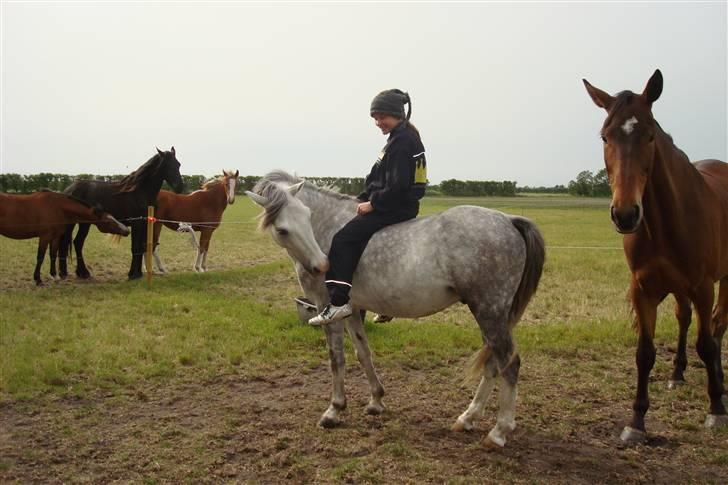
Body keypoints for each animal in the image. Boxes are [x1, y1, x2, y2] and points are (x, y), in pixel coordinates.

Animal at [0, 189, 129, 286]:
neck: (55, 206)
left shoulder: (55, 236)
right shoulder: (45, 236)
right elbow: (40, 257)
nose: (127, 230)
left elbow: (52, 255)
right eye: (108, 221)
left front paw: (54, 276)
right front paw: (38, 280)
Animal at [59, 147, 185, 280]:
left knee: (76, 242)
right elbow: (135, 247)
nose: (179, 187)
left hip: (84, 224)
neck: (139, 192)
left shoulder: (144, 224)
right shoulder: (136, 224)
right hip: (76, 223)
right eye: (166, 165)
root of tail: (69, 189)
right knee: (69, 243)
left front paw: (138, 273)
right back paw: (71, 273)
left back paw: (80, 273)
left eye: (178, 164)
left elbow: (141, 247)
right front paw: (133, 274)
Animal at [247, 172, 544, 448]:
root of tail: (508, 220)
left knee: (509, 364)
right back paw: (468, 418)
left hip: (489, 311)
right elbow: (363, 353)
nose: (321, 265)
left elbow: (336, 358)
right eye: (283, 229)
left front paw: (334, 410)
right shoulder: (352, 309)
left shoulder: (326, 307)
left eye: (307, 216)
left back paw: (498, 432)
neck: (328, 227)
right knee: (493, 363)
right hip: (490, 314)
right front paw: (376, 400)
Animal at [584, 69, 728, 442]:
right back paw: (677, 374)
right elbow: (644, 353)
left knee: (718, 325)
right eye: (604, 137)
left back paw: (720, 383)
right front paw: (636, 422)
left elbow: (707, 343)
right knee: (683, 318)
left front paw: (716, 408)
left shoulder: (703, 287)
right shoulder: (643, 290)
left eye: (650, 136)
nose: (625, 214)